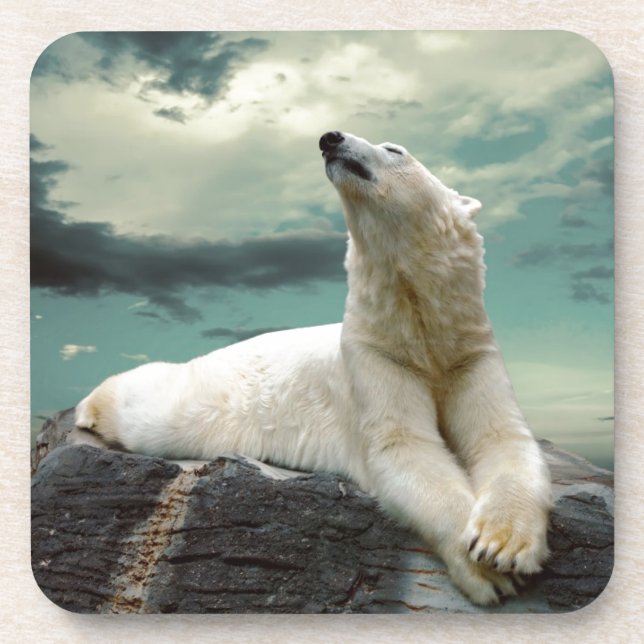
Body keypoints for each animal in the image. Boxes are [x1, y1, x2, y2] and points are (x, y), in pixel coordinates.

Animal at [75, 131, 552, 606]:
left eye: (395, 149)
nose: (330, 138)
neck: (419, 328)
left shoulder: (468, 352)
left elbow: (501, 436)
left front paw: (502, 544)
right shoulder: (373, 356)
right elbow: (404, 447)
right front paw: (486, 570)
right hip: (205, 397)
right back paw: (88, 408)